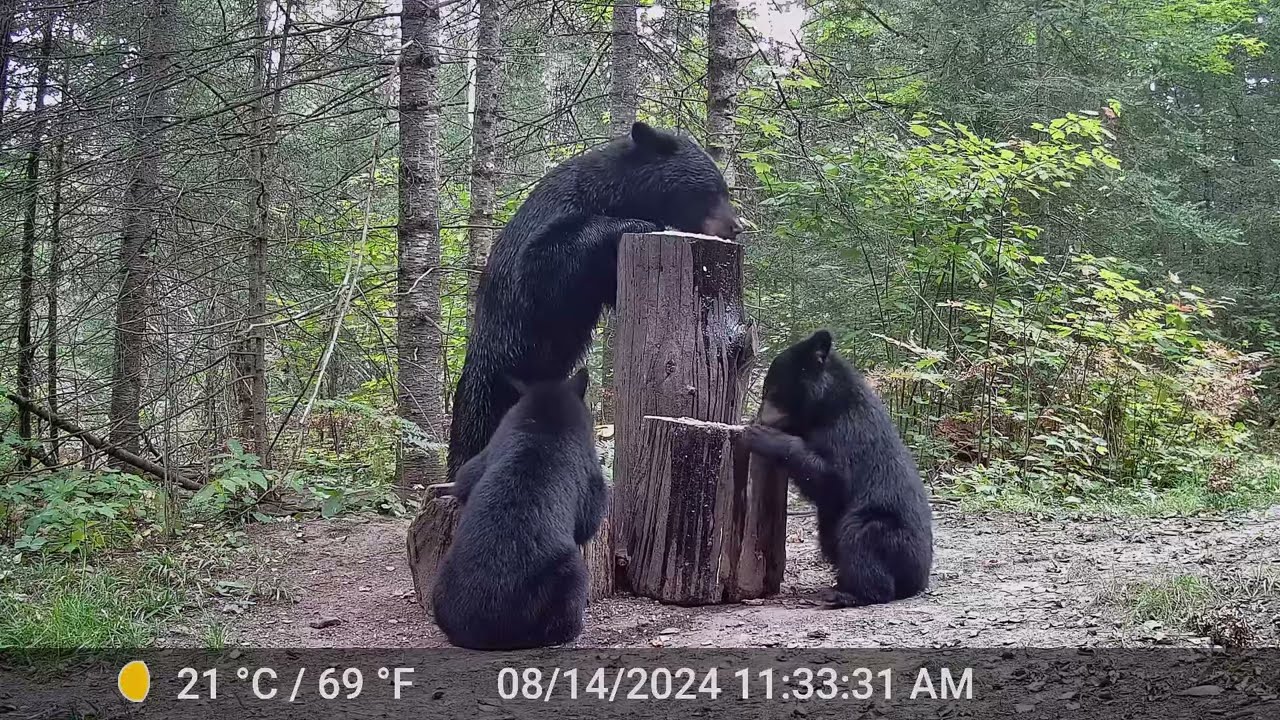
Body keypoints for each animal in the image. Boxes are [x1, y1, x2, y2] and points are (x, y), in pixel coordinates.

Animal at [432, 367, 607, 650]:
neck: (541, 421)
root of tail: (486, 626)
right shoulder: (589, 475)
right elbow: (592, 514)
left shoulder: (481, 459)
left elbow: (465, 477)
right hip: (568, 573)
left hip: (442, 576)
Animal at [445, 121, 742, 481]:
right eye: (713, 191)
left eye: (723, 190)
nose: (736, 226)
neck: (614, 193)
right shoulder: (556, 220)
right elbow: (543, 264)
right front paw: (641, 223)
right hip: (492, 377)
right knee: (475, 425)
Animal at [740, 330, 933, 607]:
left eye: (771, 390)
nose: (759, 418)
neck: (826, 407)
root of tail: (920, 579)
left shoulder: (848, 432)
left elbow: (833, 477)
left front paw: (760, 436)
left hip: (889, 534)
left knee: (860, 538)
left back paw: (849, 594)